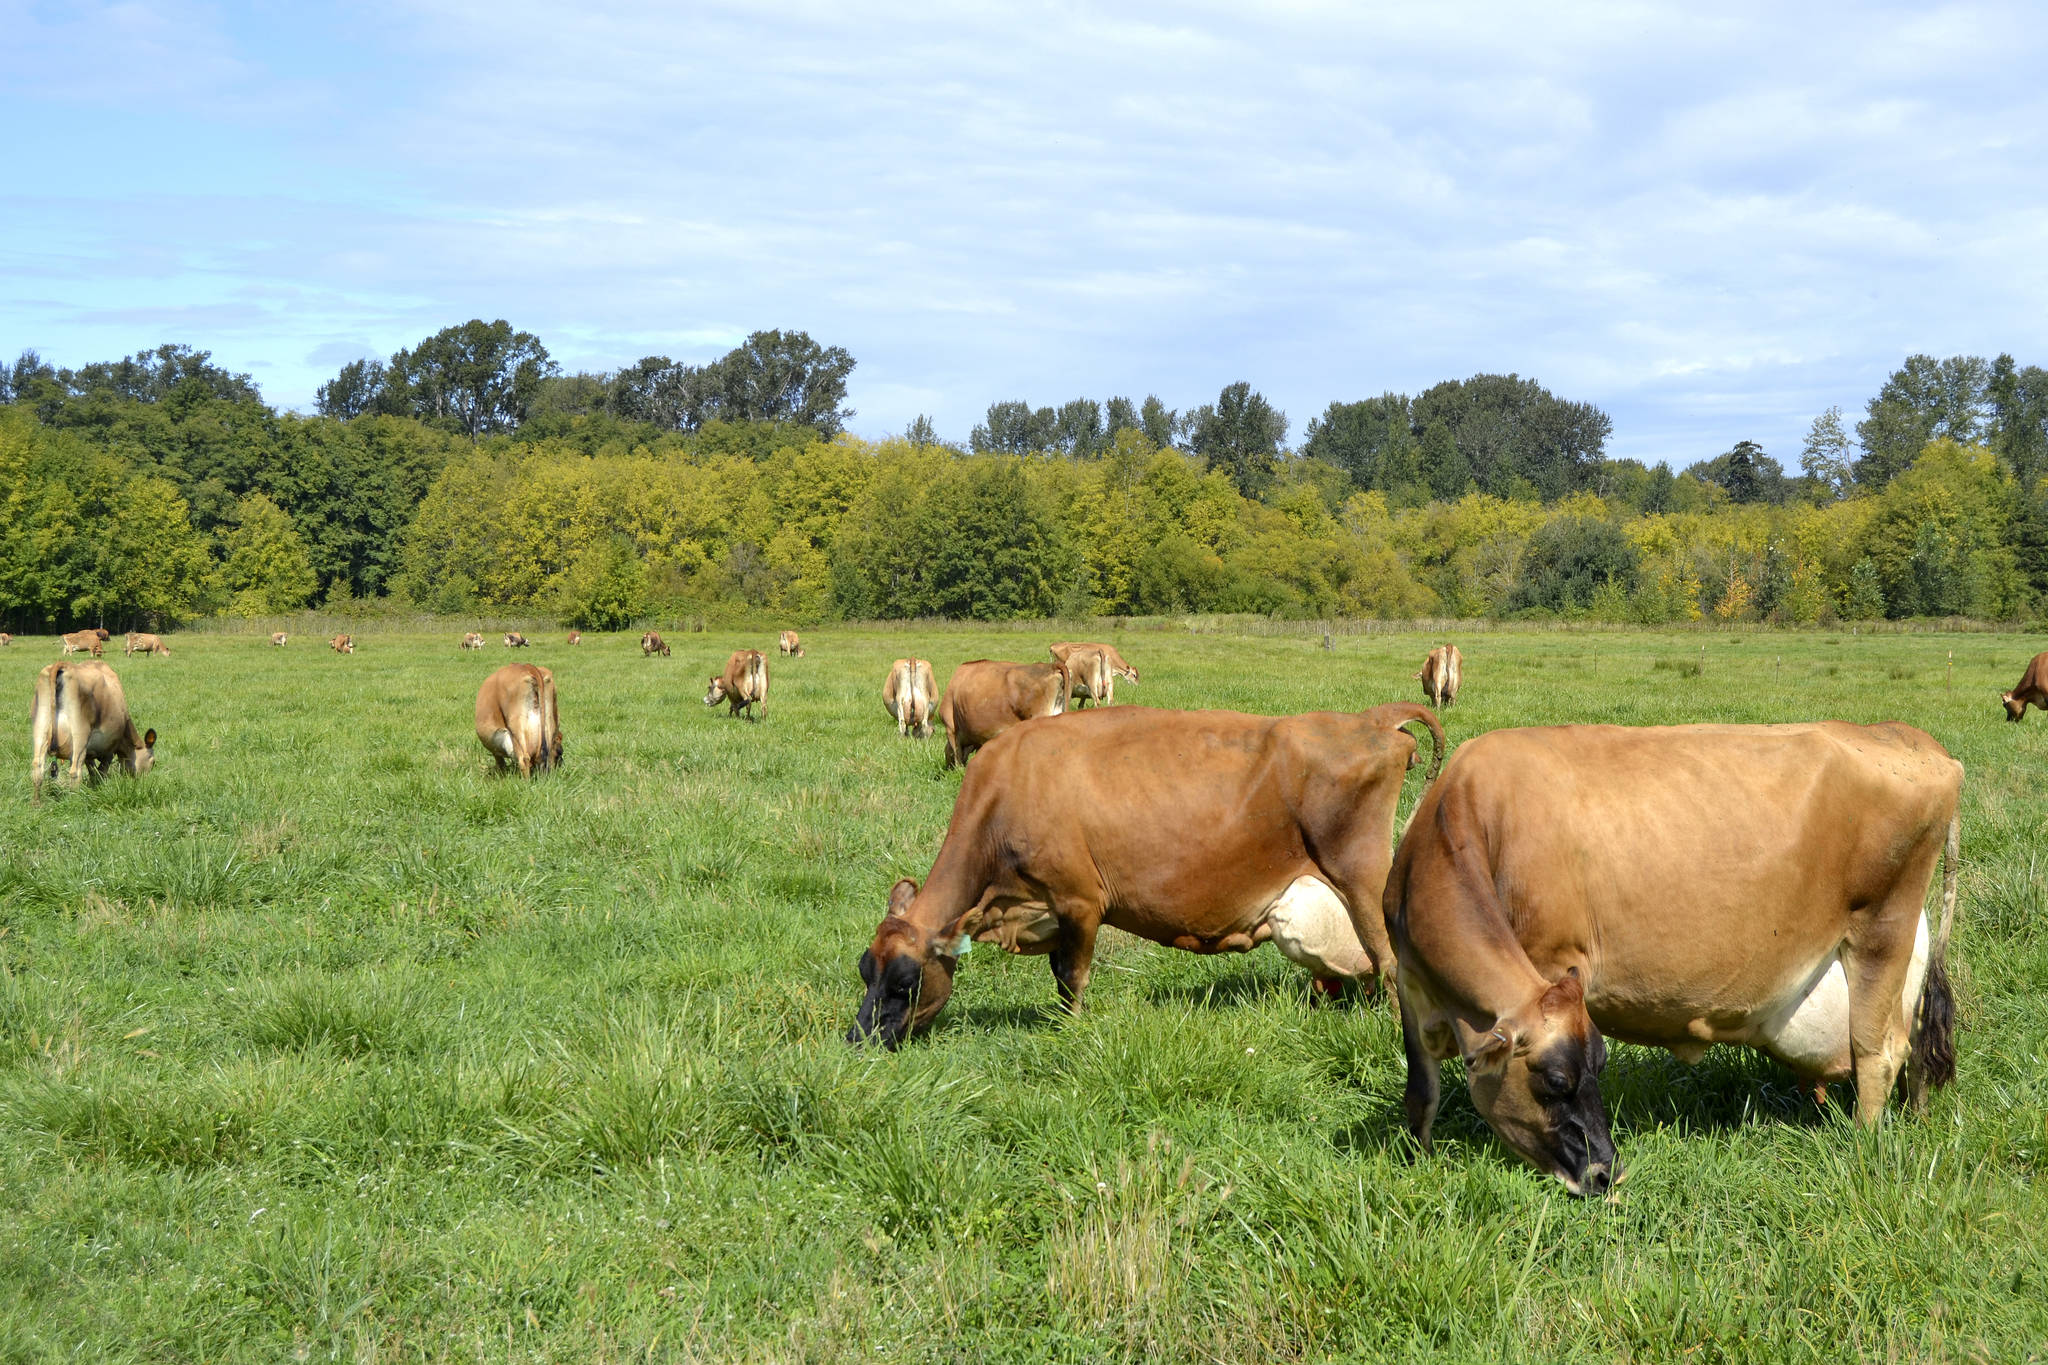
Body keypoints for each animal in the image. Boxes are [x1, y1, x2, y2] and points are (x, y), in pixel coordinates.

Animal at [29, 660, 156, 799]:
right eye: (153, 762)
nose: (143, 783)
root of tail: (63, 664)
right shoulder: (109, 748)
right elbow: (101, 771)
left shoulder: (89, 752)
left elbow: (92, 771)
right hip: (80, 735)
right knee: (75, 772)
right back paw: (75, 800)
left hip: (40, 728)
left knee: (37, 769)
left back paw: (36, 803)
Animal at [848, 703, 1446, 1049]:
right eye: (863, 971)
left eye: (905, 980)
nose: (858, 1041)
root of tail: (1372, 722)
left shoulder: (1079, 901)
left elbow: (1070, 977)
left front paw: (1070, 1032)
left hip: (1362, 877)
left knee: (1389, 962)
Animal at [1384, 722, 1962, 1198]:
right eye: (1555, 1081)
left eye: (1584, 1072)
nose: (1606, 1174)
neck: (1463, 818)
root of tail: (1914, 740)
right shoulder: (1408, 983)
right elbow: (1421, 1093)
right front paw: (1419, 1162)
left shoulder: (1547, 959)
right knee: (1911, 1048)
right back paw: (1915, 1119)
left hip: (1881, 928)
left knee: (1877, 1052)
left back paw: (1863, 1146)